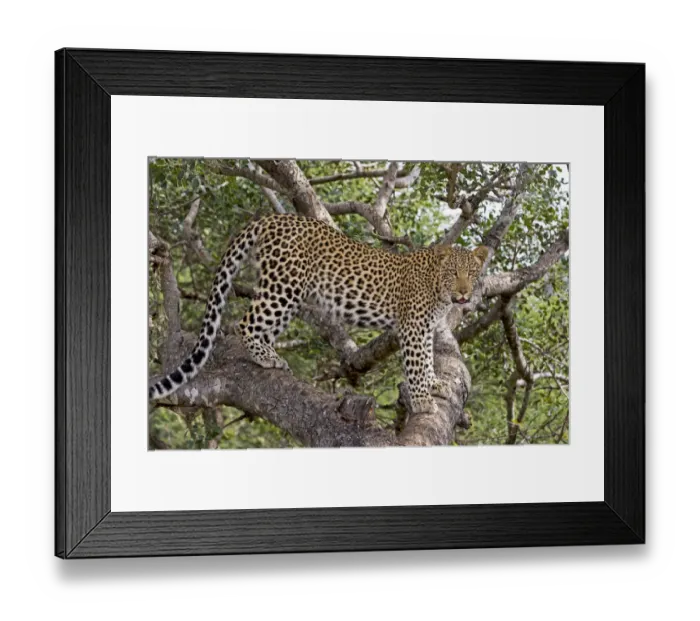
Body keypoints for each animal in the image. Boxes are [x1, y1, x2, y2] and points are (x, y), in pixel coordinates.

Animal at [149, 213, 489, 414]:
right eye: (453, 274)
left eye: (472, 274)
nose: (464, 294)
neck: (438, 289)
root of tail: (273, 216)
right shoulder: (413, 326)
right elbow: (416, 362)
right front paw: (421, 400)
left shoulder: (426, 328)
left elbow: (428, 358)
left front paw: (434, 383)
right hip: (282, 287)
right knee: (244, 323)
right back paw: (265, 357)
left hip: (287, 292)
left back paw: (271, 355)